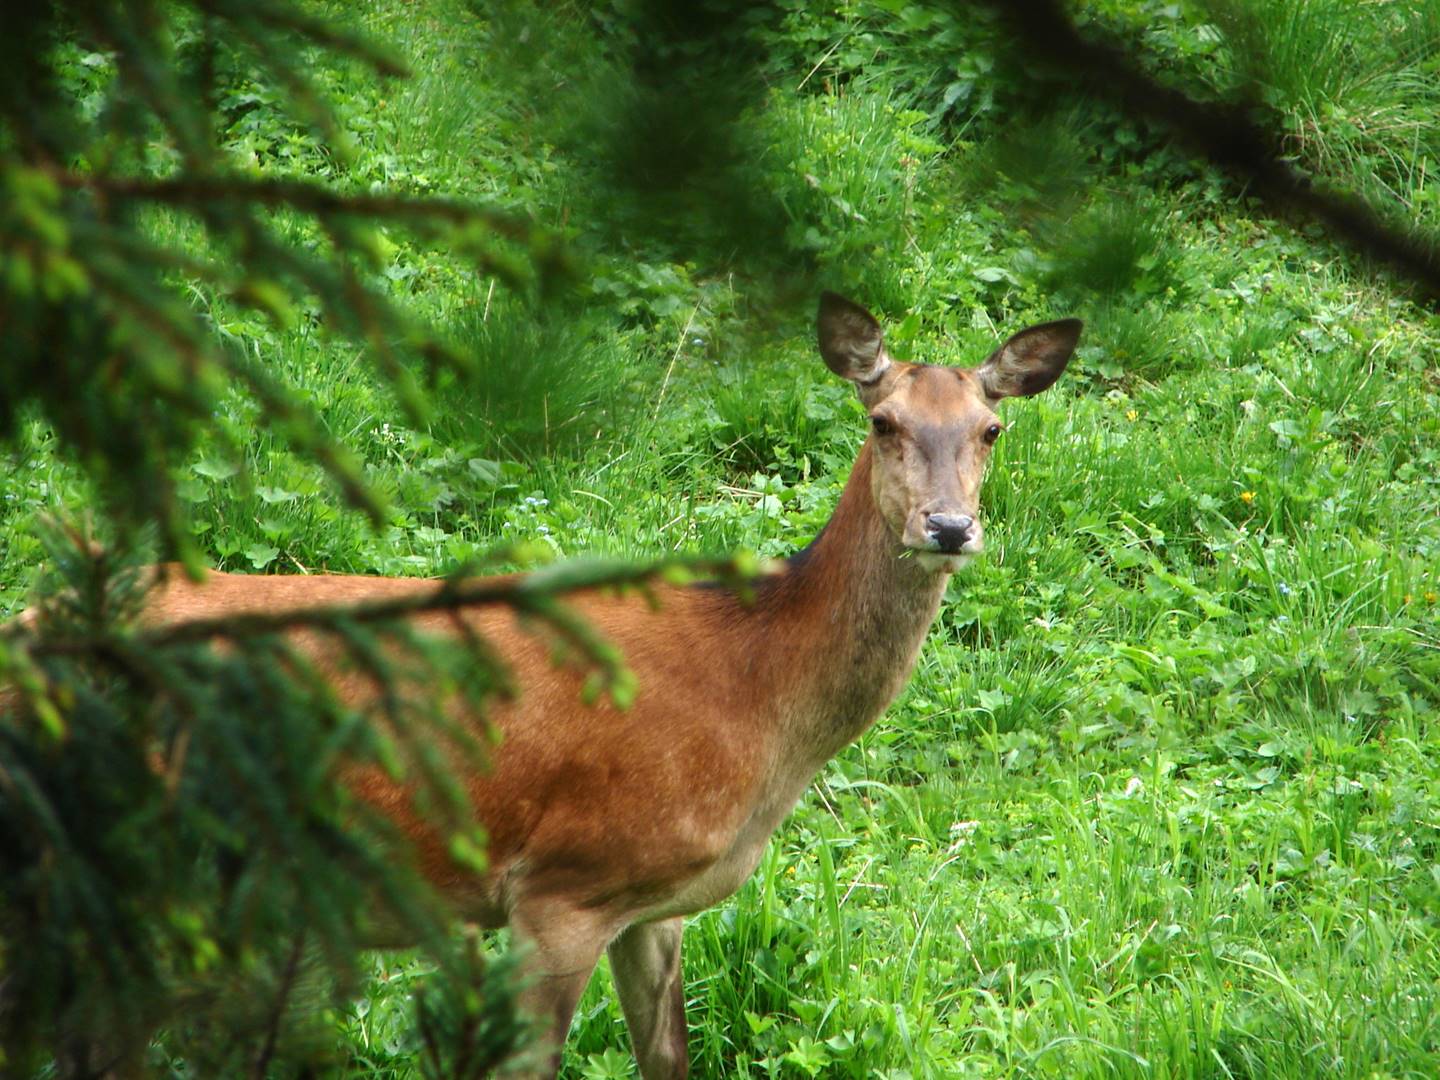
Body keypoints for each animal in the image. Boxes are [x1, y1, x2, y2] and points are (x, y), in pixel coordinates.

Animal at [137, 292, 1082, 1077]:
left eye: (991, 429)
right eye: (883, 421)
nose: (949, 527)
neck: (757, 695)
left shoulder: (656, 906)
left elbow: (668, 1058)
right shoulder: (562, 885)